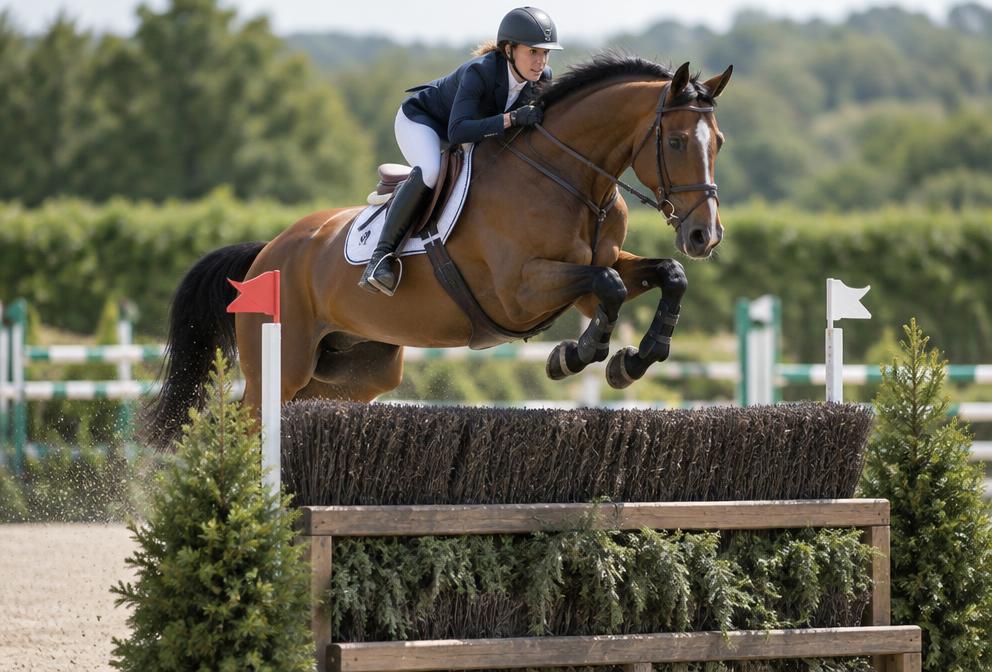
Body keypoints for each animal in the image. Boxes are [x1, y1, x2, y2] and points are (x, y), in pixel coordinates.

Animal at [144, 54, 733, 447]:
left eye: (720, 142)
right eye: (676, 141)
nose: (704, 236)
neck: (569, 177)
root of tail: (267, 252)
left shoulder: (589, 275)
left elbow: (665, 276)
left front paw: (634, 360)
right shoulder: (520, 291)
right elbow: (607, 287)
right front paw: (573, 356)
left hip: (356, 371)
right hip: (282, 361)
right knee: (245, 420)